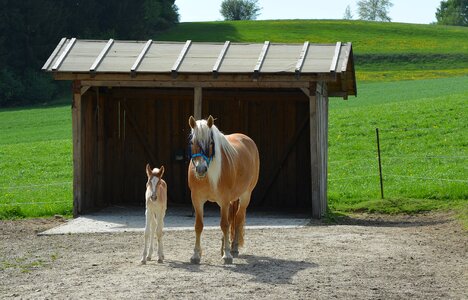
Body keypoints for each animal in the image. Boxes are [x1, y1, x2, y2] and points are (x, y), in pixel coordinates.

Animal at [187, 116, 260, 264]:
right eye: (192, 142)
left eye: (210, 143)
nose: (201, 169)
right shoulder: (197, 200)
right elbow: (199, 225)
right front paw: (196, 255)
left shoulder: (224, 200)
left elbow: (225, 225)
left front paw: (227, 255)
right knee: (232, 217)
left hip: (245, 195)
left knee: (238, 218)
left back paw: (234, 248)